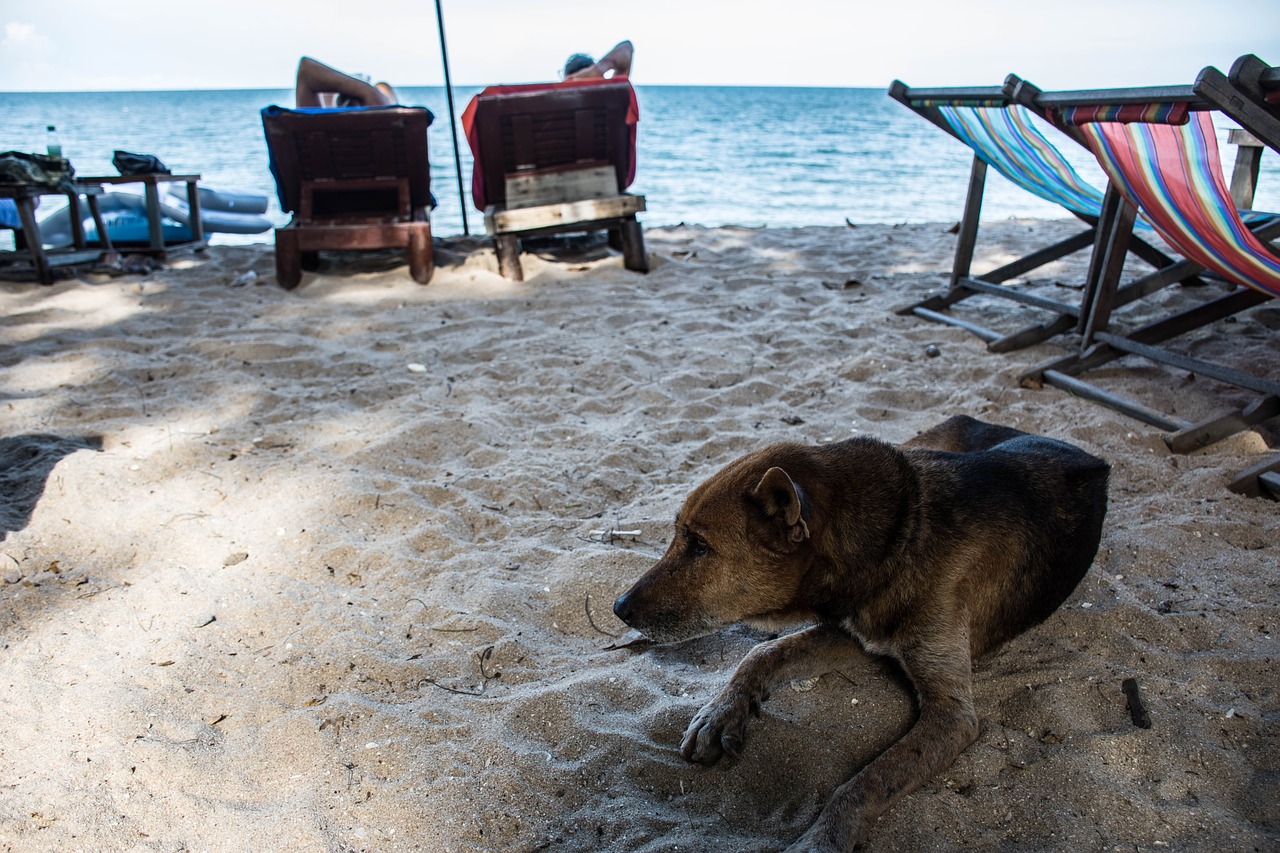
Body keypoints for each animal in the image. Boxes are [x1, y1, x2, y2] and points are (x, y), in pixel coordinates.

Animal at [614, 414, 1105, 845]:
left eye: (700, 546)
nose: (618, 609)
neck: (901, 536)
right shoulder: (859, 632)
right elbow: (762, 653)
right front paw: (719, 711)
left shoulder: (951, 715)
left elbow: (868, 780)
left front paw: (823, 838)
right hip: (924, 443)